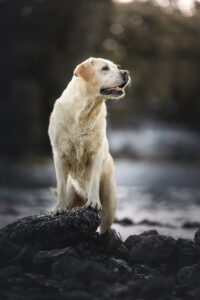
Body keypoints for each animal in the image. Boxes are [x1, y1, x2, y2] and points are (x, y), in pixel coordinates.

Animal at [48, 57, 130, 233]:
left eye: (116, 67)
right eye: (105, 68)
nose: (126, 72)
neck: (85, 110)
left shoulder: (95, 154)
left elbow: (93, 180)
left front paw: (93, 202)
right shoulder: (59, 154)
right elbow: (60, 184)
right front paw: (59, 208)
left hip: (110, 203)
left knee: (105, 228)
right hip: (72, 194)